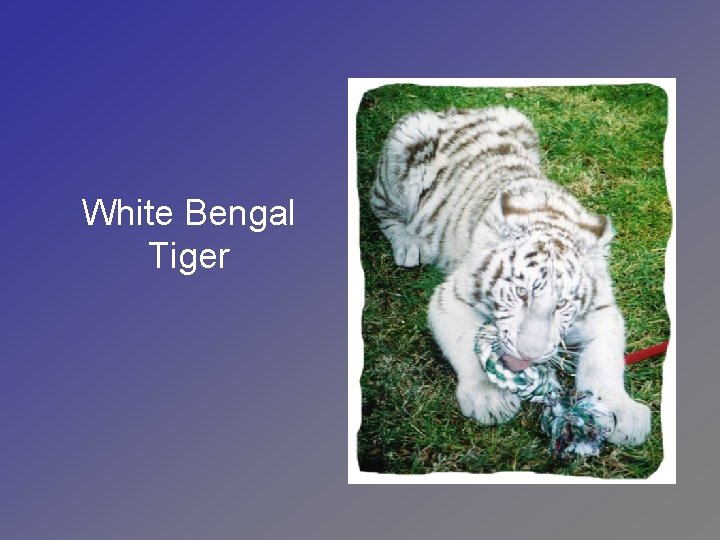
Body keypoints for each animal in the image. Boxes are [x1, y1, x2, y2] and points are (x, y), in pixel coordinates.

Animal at [370, 106, 651, 446]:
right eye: (521, 293)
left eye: (562, 305)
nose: (529, 356)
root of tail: (453, 111)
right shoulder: (450, 298)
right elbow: (466, 346)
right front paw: (489, 398)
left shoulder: (603, 311)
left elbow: (603, 362)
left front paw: (620, 411)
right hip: (404, 151)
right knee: (380, 207)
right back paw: (409, 244)